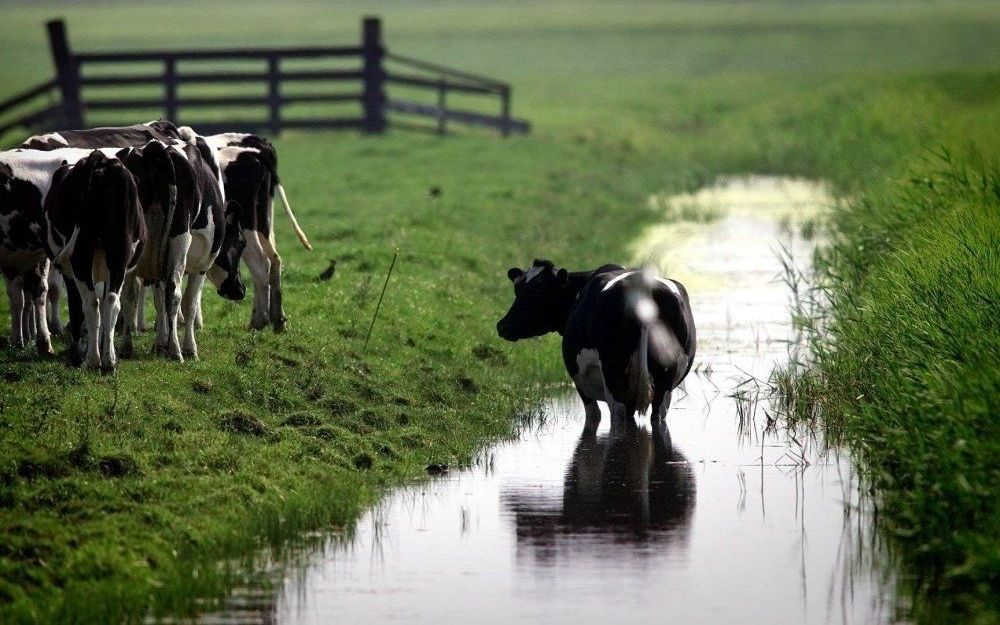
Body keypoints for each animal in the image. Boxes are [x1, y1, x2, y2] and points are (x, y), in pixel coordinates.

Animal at [498, 258, 696, 424]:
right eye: (518, 289)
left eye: (537, 293)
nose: (502, 326)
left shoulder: (580, 381)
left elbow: (593, 415)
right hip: (664, 378)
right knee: (657, 414)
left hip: (614, 372)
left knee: (618, 416)